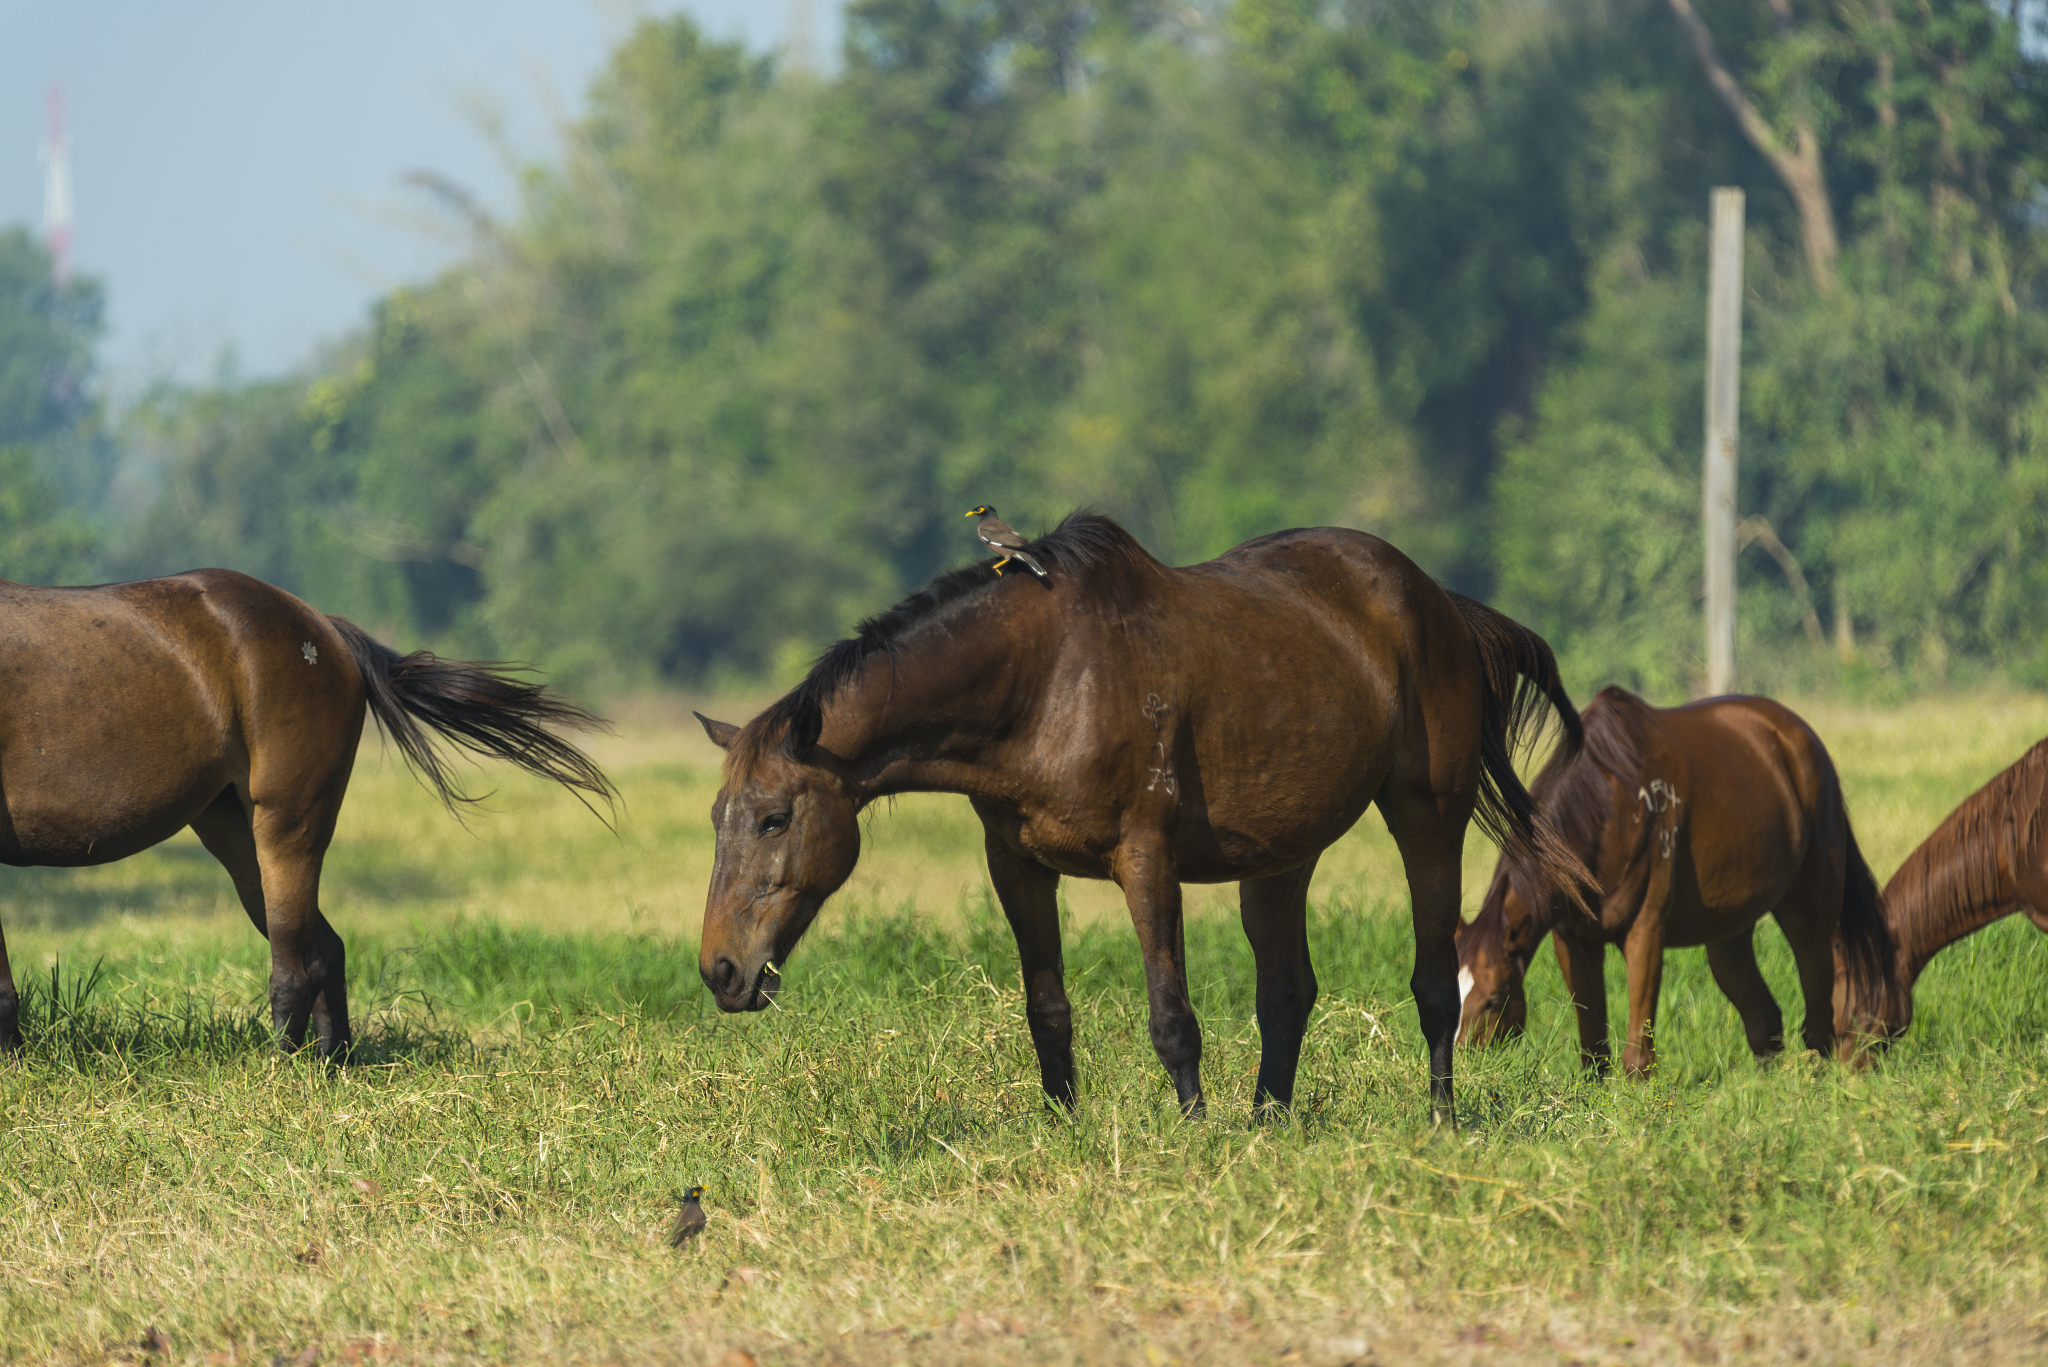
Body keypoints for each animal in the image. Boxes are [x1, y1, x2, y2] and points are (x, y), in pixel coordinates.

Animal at [0, 569, 615, 1058]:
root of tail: (324, 628)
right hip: (235, 833)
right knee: (323, 949)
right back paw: (332, 1060)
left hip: (287, 825)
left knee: (293, 967)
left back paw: (283, 1070)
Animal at [691, 511, 1588, 1123]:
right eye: (717, 817)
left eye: (774, 818)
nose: (721, 971)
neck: (1045, 681)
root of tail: (1439, 602)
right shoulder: (1016, 864)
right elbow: (1047, 1011)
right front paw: (1065, 1124)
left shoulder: (1146, 856)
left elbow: (1172, 1017)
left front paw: (1192, 1134)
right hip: (1281, 853)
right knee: (1287, 990)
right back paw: (1268, 1124)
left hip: (1426, 814)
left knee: (1434, 983)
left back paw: (1438, 1117)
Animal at [1453, 687, 1887, 1075]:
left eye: (1493, 999)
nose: (1464, 1065)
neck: (1612, 805)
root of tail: (1802, 741)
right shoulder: (1574, 941)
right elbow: (1594, 1053)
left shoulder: (1644, 930)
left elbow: (1637, 1057)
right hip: (1728, 930)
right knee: (1763, 1020)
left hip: (1809, 911)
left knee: (1818, 1018)